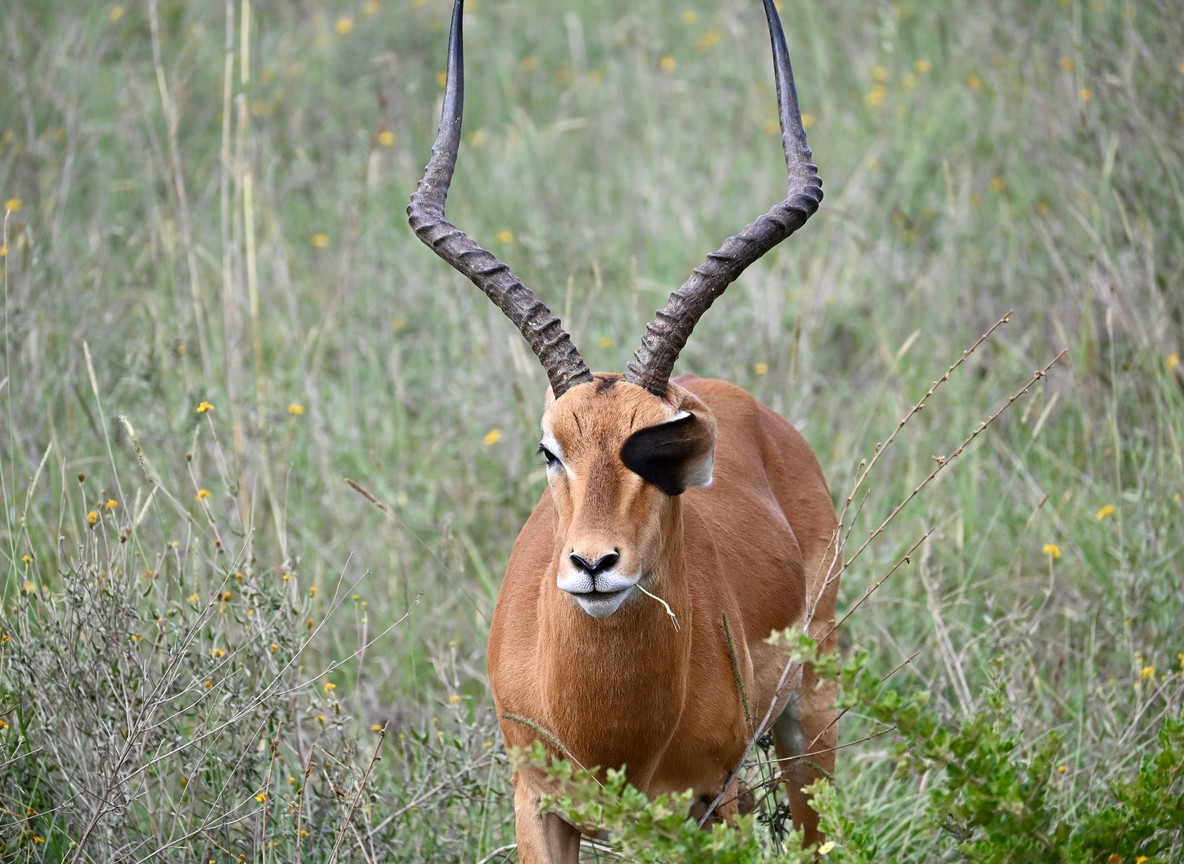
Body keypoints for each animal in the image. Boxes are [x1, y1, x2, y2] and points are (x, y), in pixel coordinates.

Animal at [408, 0, 839, 858]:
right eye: (551, 450)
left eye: (666, 451)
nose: (594, 565)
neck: (607, 729)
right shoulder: (537, 805)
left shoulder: (706, 803)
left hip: (812, 720)